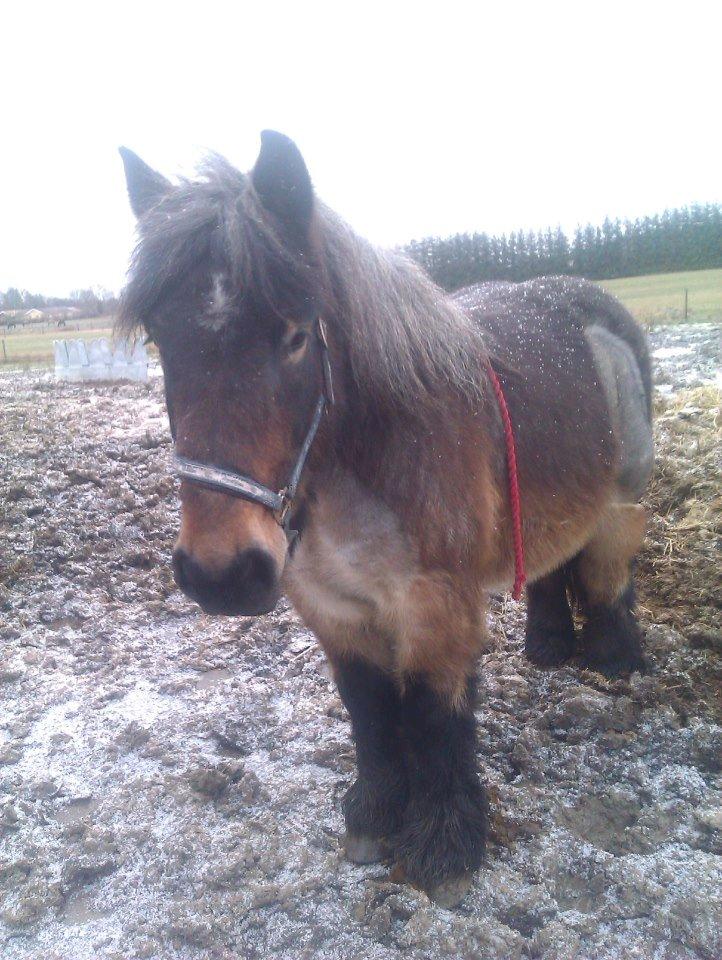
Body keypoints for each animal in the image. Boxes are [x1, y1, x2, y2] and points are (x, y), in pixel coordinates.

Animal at [118, 131, 652, 904]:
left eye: (294, 335)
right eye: (161, 338)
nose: (221, 574)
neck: (359, 467)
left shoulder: (437, 605)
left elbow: (434, 713)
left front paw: (446, 847)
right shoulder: (332, 606)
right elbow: (368, 707)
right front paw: (373, 816)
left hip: (622, 501)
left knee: (611, 571)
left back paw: (616, 661)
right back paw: (550, 647)